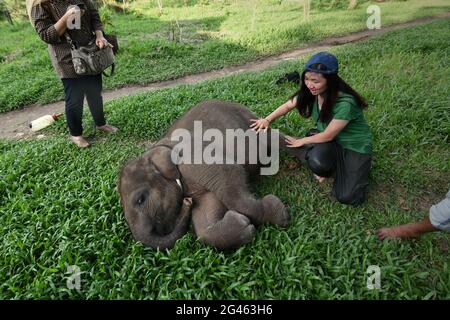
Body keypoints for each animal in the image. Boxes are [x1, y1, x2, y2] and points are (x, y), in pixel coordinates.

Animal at [118, 100, 290, 250]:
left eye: (141, 199)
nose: (187, 201)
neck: (154, 149)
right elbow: (206, 214)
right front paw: (243, 225)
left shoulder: (193, 158)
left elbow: (230, 172)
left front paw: (280, 212)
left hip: (252, 123)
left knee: (274, 138)